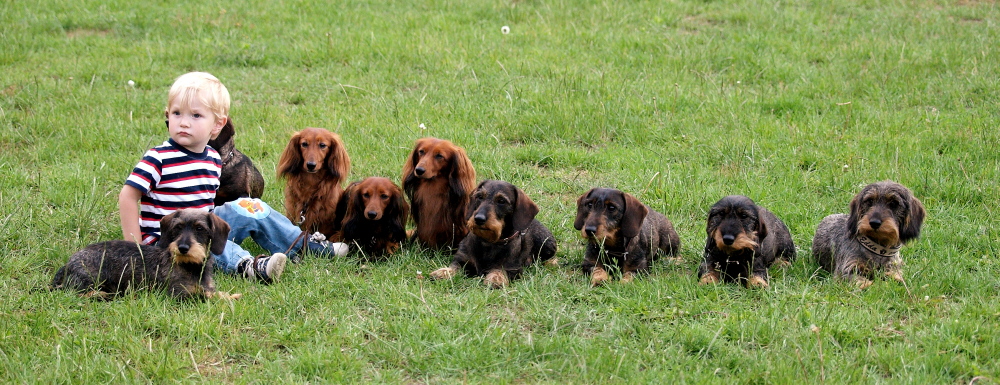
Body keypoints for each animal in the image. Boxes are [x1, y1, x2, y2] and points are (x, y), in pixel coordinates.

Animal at [50, 208, 240, 298]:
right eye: (177, 227)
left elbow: (214, 293)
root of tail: (67, 264)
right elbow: (205, 296)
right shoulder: (179, 294)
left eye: (200, 228)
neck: (191, 266)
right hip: (92, 277)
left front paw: (231, 296)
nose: (183, 248)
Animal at [428, 180, 560, 288]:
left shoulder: (513, 269)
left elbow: (500, 270)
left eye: (501, 201)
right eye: (479, 197)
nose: (479, 219)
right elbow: (455, 266)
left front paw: (496, 278)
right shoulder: (462, 258)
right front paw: (444, 272)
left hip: (546, 242)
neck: (488, 243)